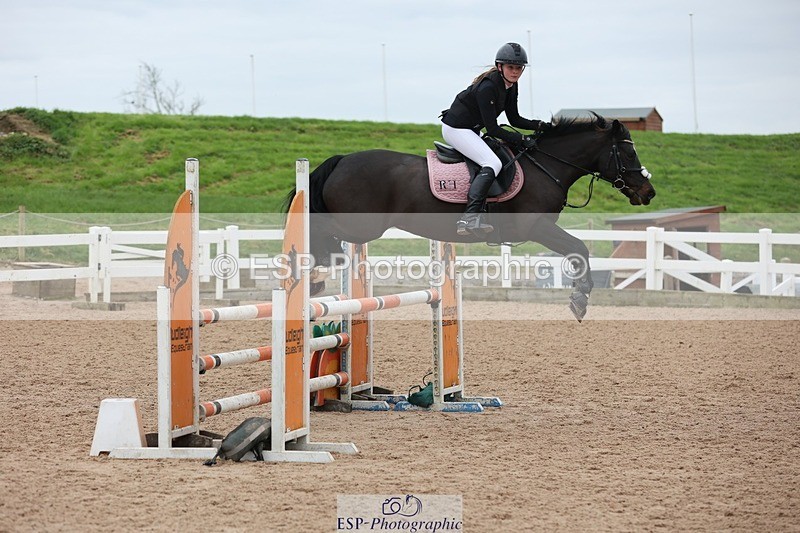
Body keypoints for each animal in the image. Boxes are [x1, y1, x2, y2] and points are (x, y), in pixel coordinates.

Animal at [284, 114, 656, 321]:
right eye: (628, 153)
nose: (648, 192)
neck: (545, 166)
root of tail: (342, 160)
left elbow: (578, 250)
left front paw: (581, 296)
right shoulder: (537, 227)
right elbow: (580, 248)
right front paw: (580, 299)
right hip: (362, 225)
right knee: (322, 231)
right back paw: (316, 270)